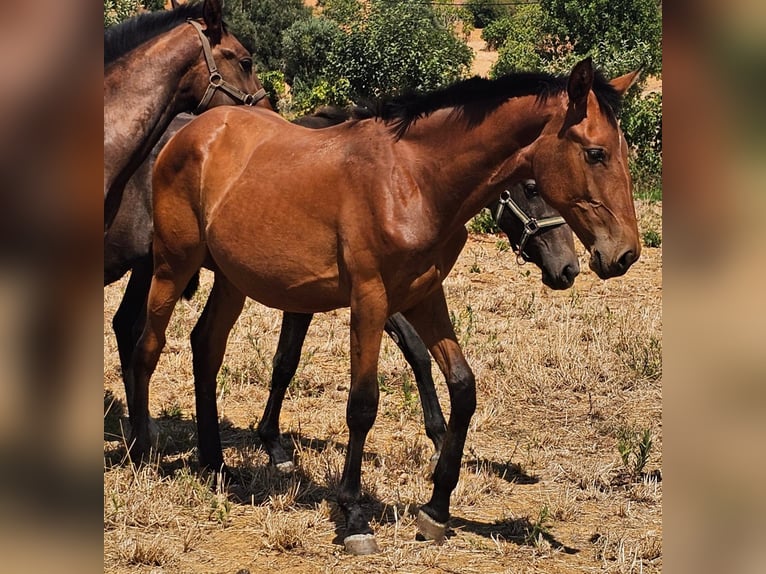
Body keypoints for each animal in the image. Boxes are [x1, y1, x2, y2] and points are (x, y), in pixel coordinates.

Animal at [130, 58, 640, 552]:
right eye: (595, 153)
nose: (622, 255)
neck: (413, 181)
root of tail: (191, 133)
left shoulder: (425, 297)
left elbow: (462, 386)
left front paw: (436, 508)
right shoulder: (369, 300)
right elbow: (362, 405)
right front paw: (355, 516)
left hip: (232, 280)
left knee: (205, 347)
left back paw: (214, 464)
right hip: (172, 267)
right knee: (146, 347)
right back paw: (142, 452)